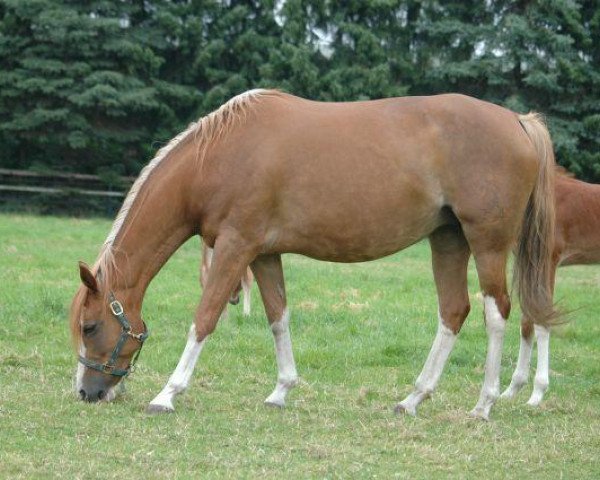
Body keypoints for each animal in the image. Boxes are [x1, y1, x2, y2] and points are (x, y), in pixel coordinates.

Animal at [71, 90, 556, 420]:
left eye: (90, 326)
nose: (88, 393)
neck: (220, 156)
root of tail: (517, 121)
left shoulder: (234, 246)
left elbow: (205, 318)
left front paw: (167, 394)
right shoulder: (263, 254)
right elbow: (278, 317)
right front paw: (281, 390)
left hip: (486, 242)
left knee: (497, 313)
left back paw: (484, 404)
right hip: (448, 239)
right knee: (453, 312)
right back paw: (413, 398)